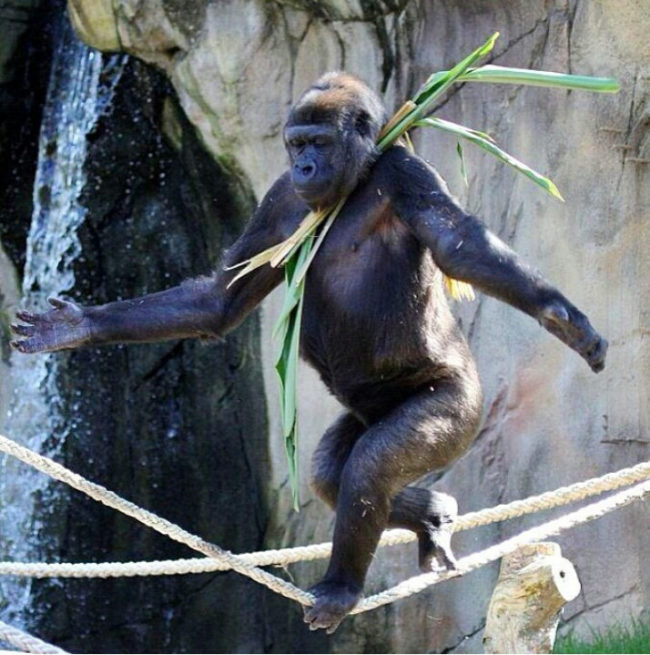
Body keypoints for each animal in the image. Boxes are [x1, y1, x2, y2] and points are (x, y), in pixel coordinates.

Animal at [11, 72, 607, 633]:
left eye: (318, 141)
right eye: (296, 144)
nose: (304, 167)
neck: (356, 180)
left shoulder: (404, 172)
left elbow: (459, 245)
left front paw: (561, 316)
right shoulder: (278, 198)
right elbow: (218, 299)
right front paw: (74, 327)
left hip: (461, 404)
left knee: (371, 463)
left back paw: (344, 585)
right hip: (363, 411)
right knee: (329, 473)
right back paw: (432, 516)